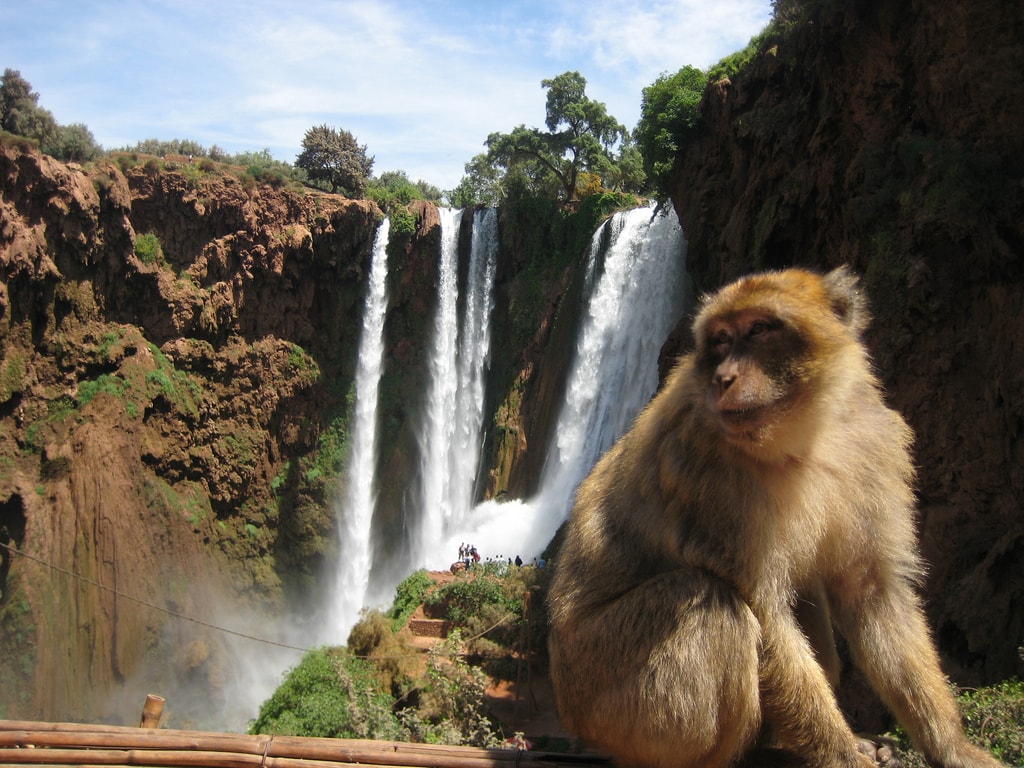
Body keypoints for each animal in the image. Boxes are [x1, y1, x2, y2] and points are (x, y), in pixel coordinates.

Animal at [548, 268, 1003, 768]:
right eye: (721, 339)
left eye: (759, 330)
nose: (723, 378)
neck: (801, 437)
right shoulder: (707, 474)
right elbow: (766, 613)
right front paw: (841, 755)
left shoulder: (873, 445)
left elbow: (872, 593)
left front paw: (952, 747)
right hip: (608, 696)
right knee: (711, 602)